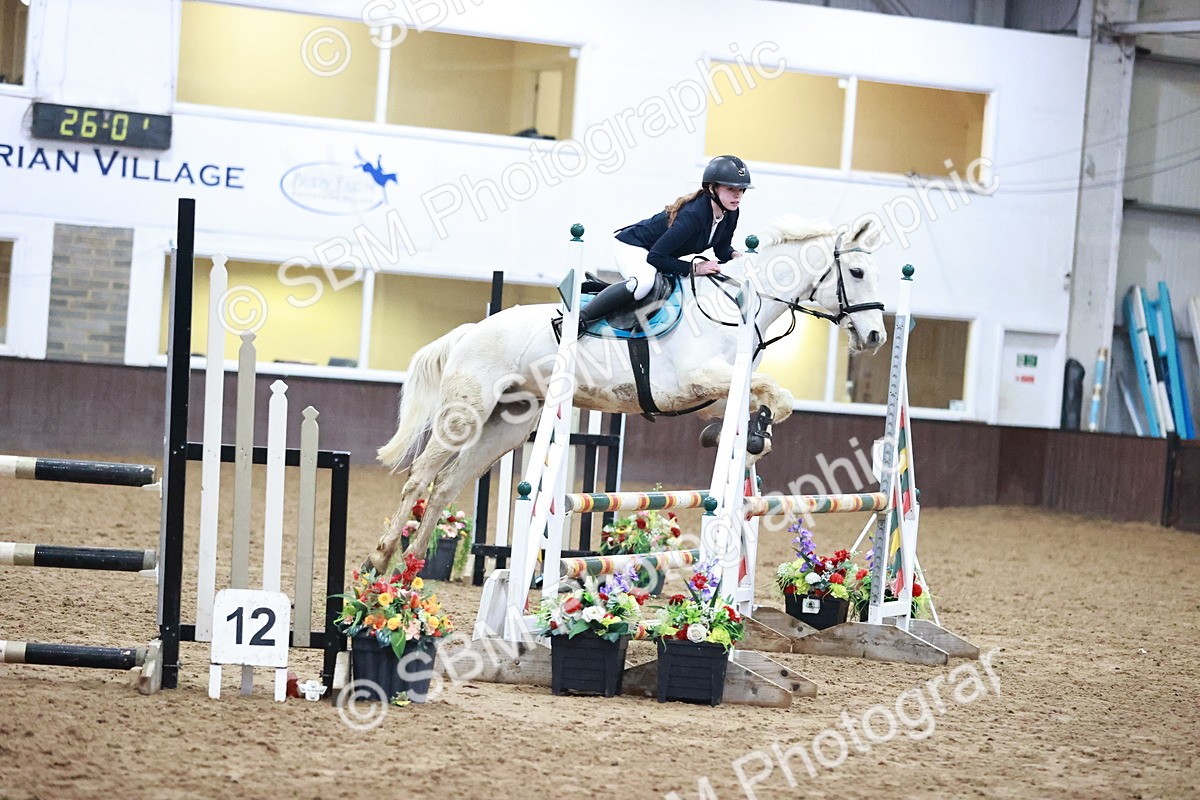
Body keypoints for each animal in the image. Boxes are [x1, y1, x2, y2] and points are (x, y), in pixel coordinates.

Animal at [367, 216, 887, 572]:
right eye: (858, 272)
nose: (877, 336)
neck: (735, 307)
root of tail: (472, 330)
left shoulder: (713, 394)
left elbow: (758, 403)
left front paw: (747, 438)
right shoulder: (695, 379)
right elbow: (780, 397)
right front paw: (756, 432)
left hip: (509, 424)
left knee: (446, 486)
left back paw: (412, 567)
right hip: (465, 415)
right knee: (419, 478)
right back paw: (381, 560)